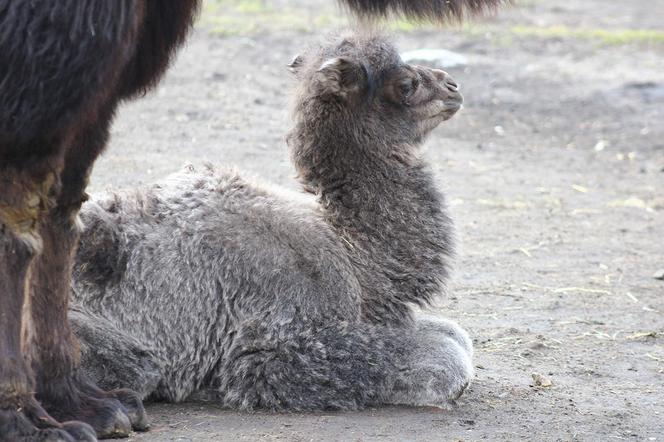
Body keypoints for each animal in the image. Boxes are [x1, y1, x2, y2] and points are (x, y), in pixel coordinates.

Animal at [71, 34, 472, 410]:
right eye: (405, 85)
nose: (453, 86)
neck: (352, 254)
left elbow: (457, 334)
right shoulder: (276, 342)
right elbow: (447, 357)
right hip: (120, 354)